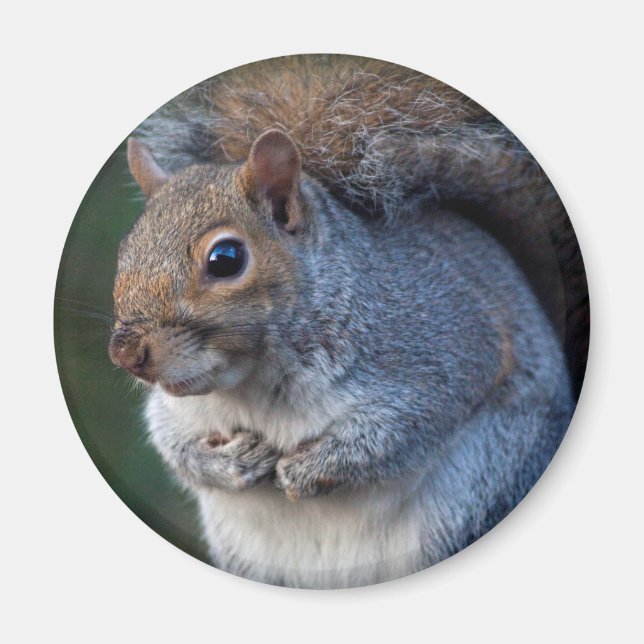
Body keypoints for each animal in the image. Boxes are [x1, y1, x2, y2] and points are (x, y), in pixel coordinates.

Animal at [108, 55, 588, 589]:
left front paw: (305, 469)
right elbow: (171, 442)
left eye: (226, 259)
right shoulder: (179, 410)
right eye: (126, 249)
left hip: (481, 484)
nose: (126, 353)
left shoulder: (446, 345)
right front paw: (231, 462)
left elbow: (406, 428)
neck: (253, 383)